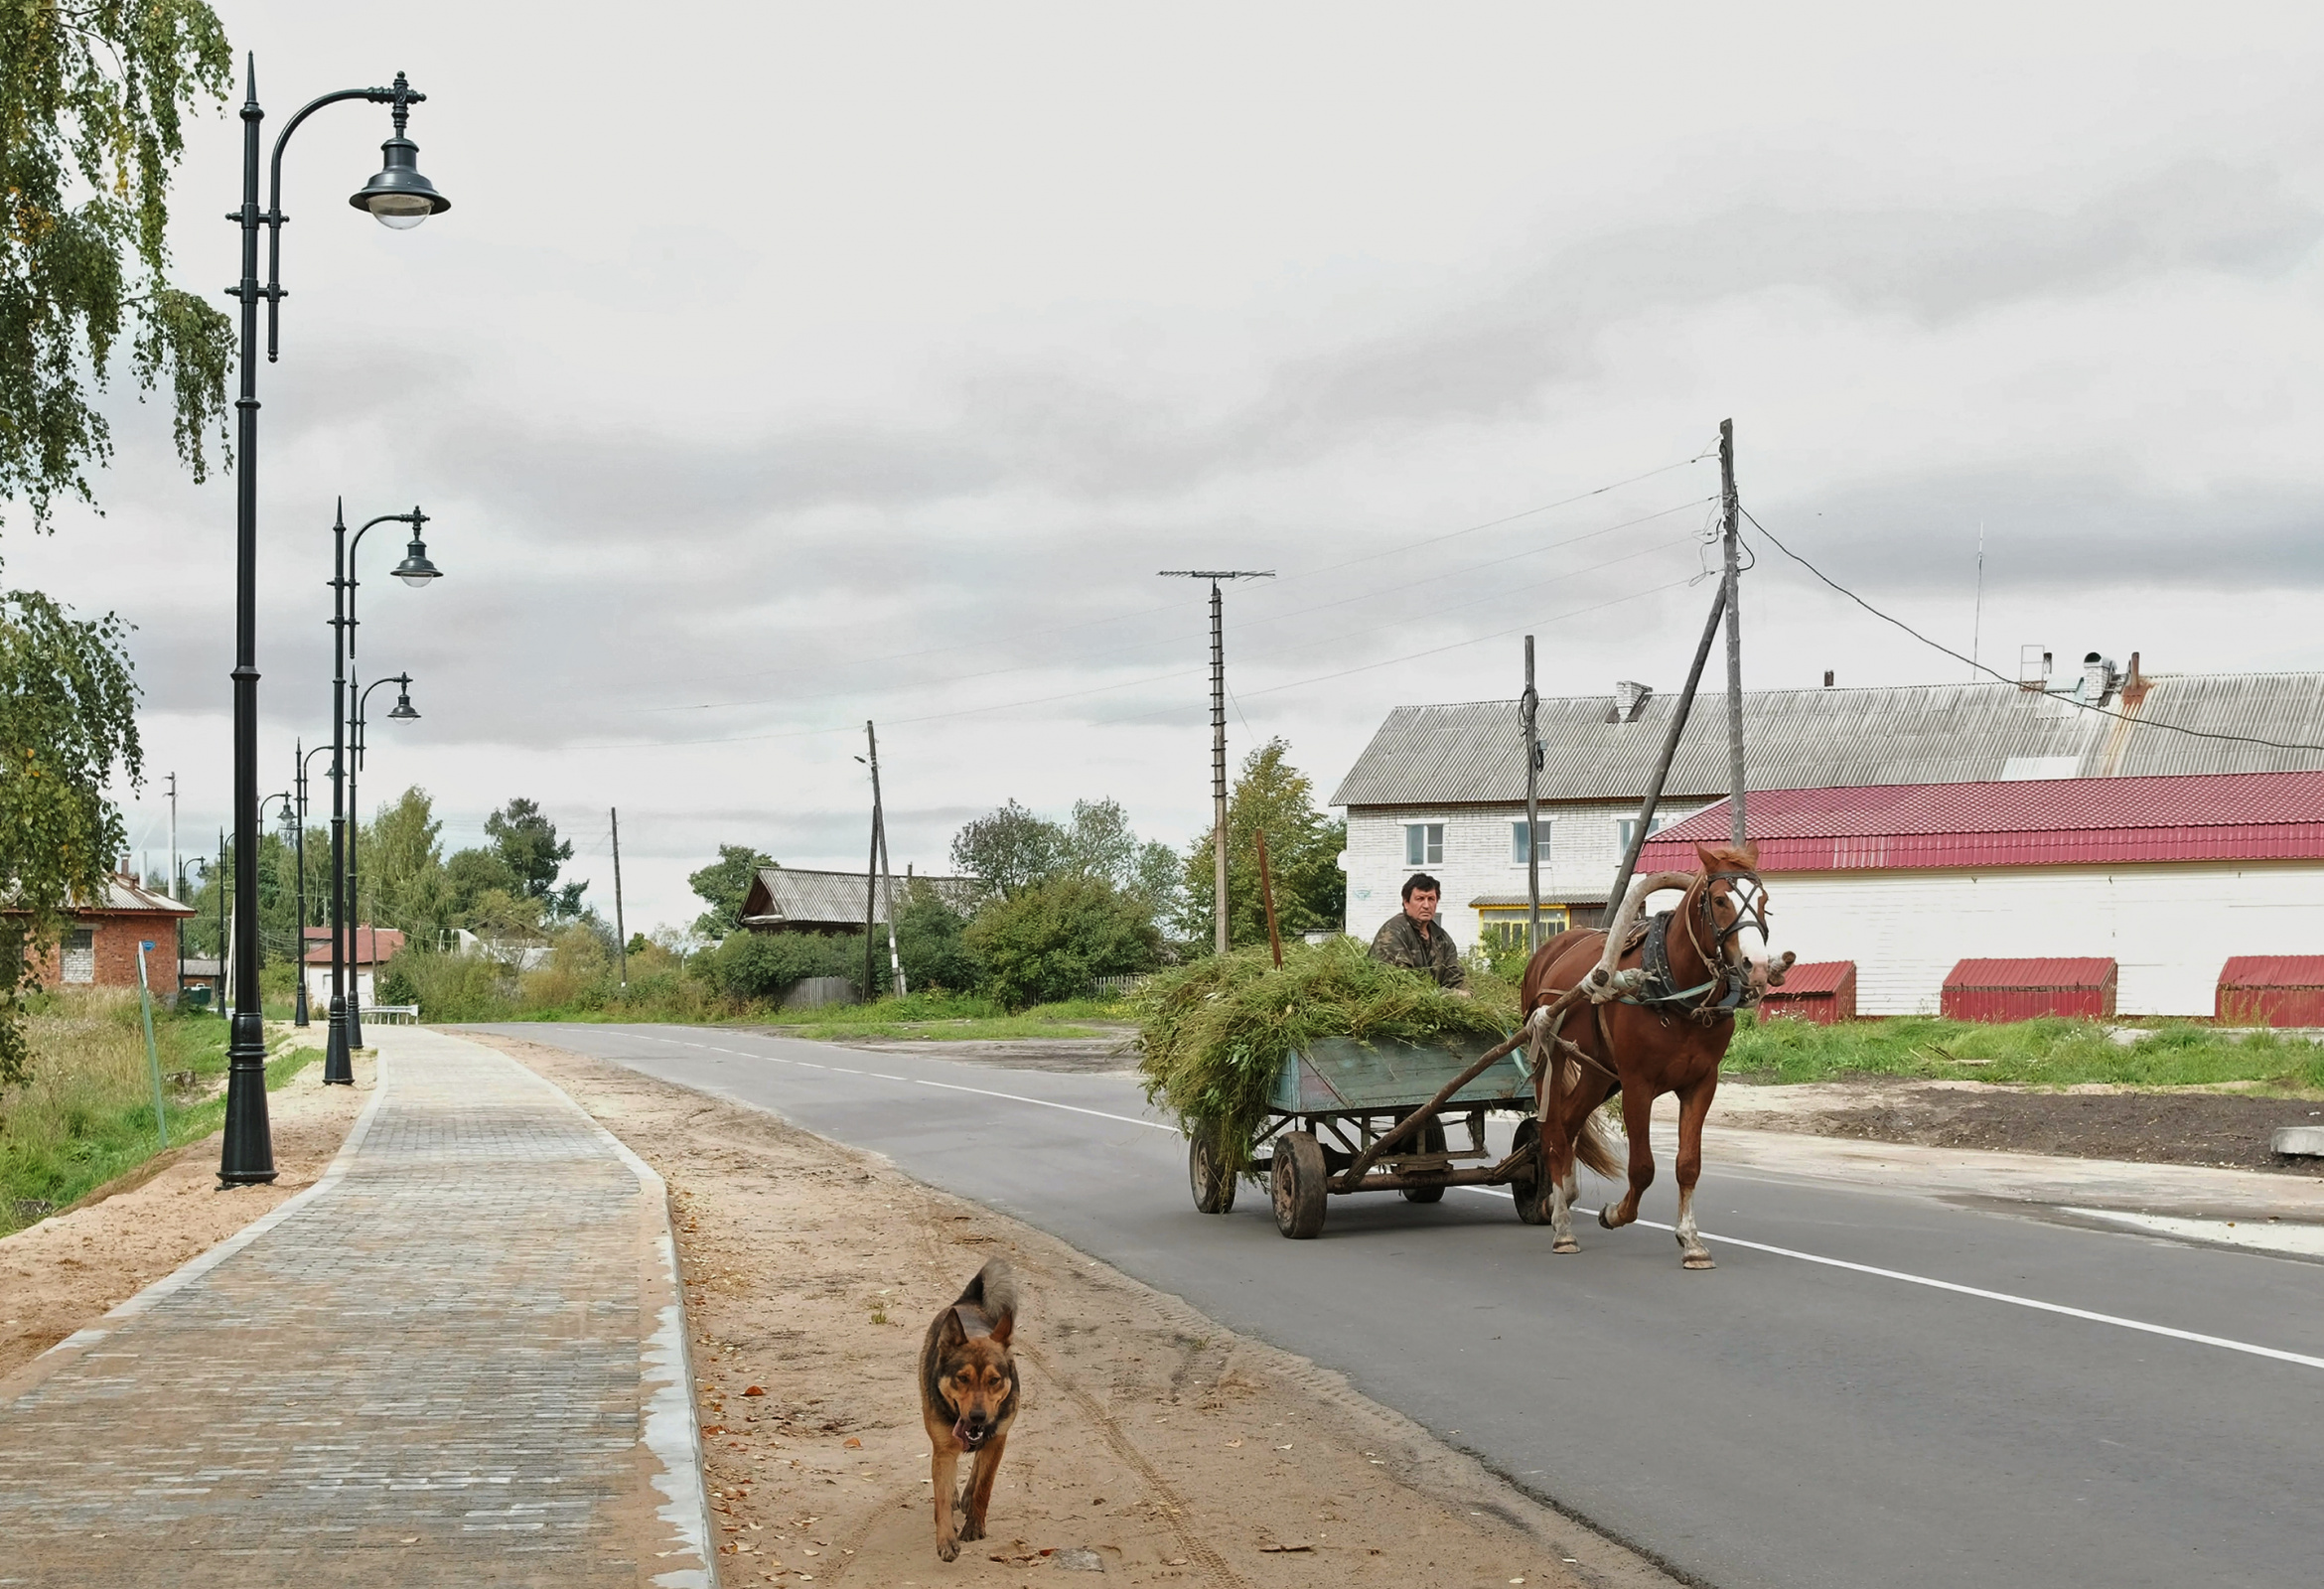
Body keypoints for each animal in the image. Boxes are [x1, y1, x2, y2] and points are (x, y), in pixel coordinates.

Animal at [915, 1263, 1017, 1560]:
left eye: (994, 1380)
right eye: (962, 1378)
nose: (978, 1417)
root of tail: (966, 1302)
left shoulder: (998, 1440)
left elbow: (985, 1485)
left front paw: (974, 1525)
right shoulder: (944, 1449)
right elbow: (941, 1496)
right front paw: (946, 1539)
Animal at [1515, 836, 1785, 1272]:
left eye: (1764, 901)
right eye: (1720, 900)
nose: (1756, 966)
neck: (1675, 994)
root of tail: (1549, 950)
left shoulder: (1701, 1084)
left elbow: (1688, 1164)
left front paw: (1692, 1241)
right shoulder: (1637, 1086)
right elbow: (1642, 1168)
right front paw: (1614, 1213)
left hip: (1600, 1073)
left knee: (1570, 1123)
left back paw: (1563, 1197)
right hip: (1550, 1054)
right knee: (1553, 1132)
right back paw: (1562, 1226)